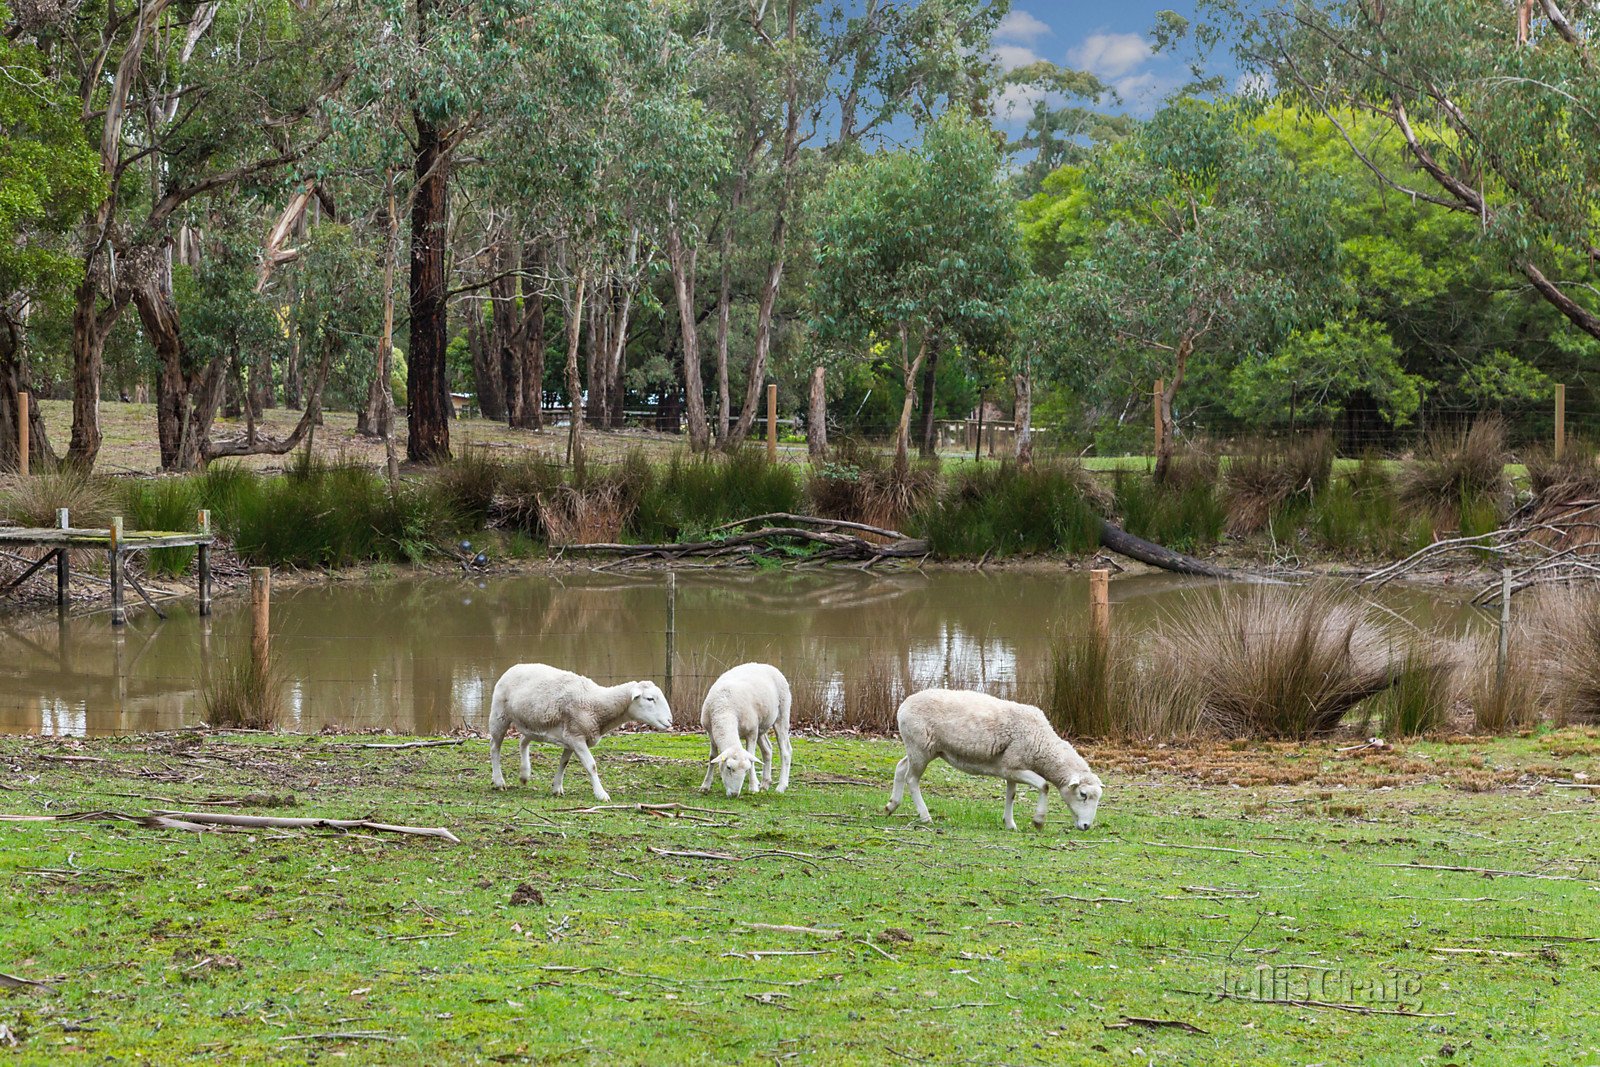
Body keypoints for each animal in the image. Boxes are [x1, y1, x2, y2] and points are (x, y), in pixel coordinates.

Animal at [483, 659, 665, 799]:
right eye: (650, 699)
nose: (669, 721)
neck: (597, 704)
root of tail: (515, 666)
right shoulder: (576, 736)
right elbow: (591, 765)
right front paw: (601, 795)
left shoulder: (570, 736)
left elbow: (564, 763)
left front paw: (557, 788)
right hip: (499, 715)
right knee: (495, 747)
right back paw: (499, 781)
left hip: (533, 724)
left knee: (522, 741)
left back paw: (524, 774)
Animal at [700, 662, 793, 796]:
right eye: (728, 767)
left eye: (746, 770)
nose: (734, 794)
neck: (725, 708)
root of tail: (768, 666)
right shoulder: (711, 733)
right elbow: (712, 757)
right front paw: (705, 786)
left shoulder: (751, 732)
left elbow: (752, 758)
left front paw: (753, 787)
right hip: (761, 726)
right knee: (767, 750)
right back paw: (765, 783)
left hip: (782, 714)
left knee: (786, 751)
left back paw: (781, 786)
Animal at [889, 687, 1100, 831]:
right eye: (1083, 794)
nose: (1086, 826)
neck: (1041, 741)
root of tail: (904, 704)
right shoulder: (1012, 767)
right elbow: (1044, 785)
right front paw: (1038, 820)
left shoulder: (1011, 769)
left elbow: (1011, 795)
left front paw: (1010, 824)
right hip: (920, 748)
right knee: (912, 779)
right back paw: (925, 816)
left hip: (922, 749)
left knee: (901, 767)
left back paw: (891, 805)